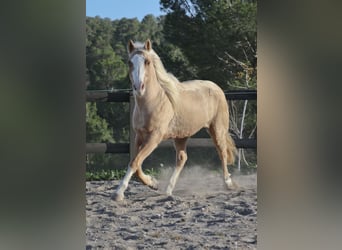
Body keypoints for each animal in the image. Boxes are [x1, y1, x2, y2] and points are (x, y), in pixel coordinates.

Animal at [113, 39, 236, 201]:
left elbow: (135, 162)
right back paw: (168, 190)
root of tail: (216, 87)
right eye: (129, 62)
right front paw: (153, 183)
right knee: (182, 158)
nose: (139, 87)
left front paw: (119, 193)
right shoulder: (139, 136)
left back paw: (228, 183)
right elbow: (136, 164)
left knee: (222, 153)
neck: (153, 101)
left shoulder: (154, 137)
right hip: (181, 136)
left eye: (147, 61)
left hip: (217, 129)